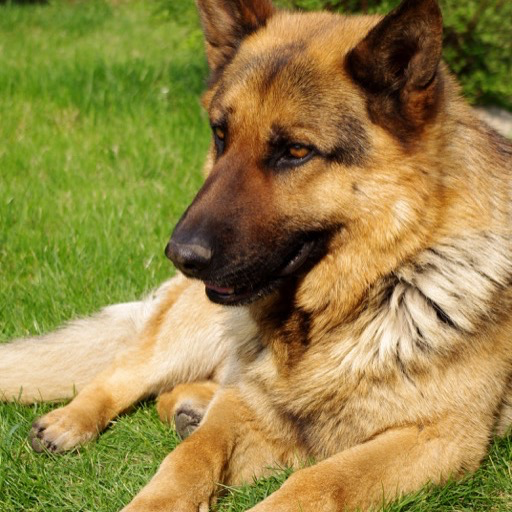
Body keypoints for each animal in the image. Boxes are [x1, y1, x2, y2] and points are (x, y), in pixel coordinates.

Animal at [1, 0, 511, 510]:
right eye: (220, 135)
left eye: (296, 151)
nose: (180, 254)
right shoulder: (242, 405)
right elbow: (188, 457)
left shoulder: (438, 437)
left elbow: (321, 480)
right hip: (192, 333)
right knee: (124, 373)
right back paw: (71, 420)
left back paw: (189, 405)